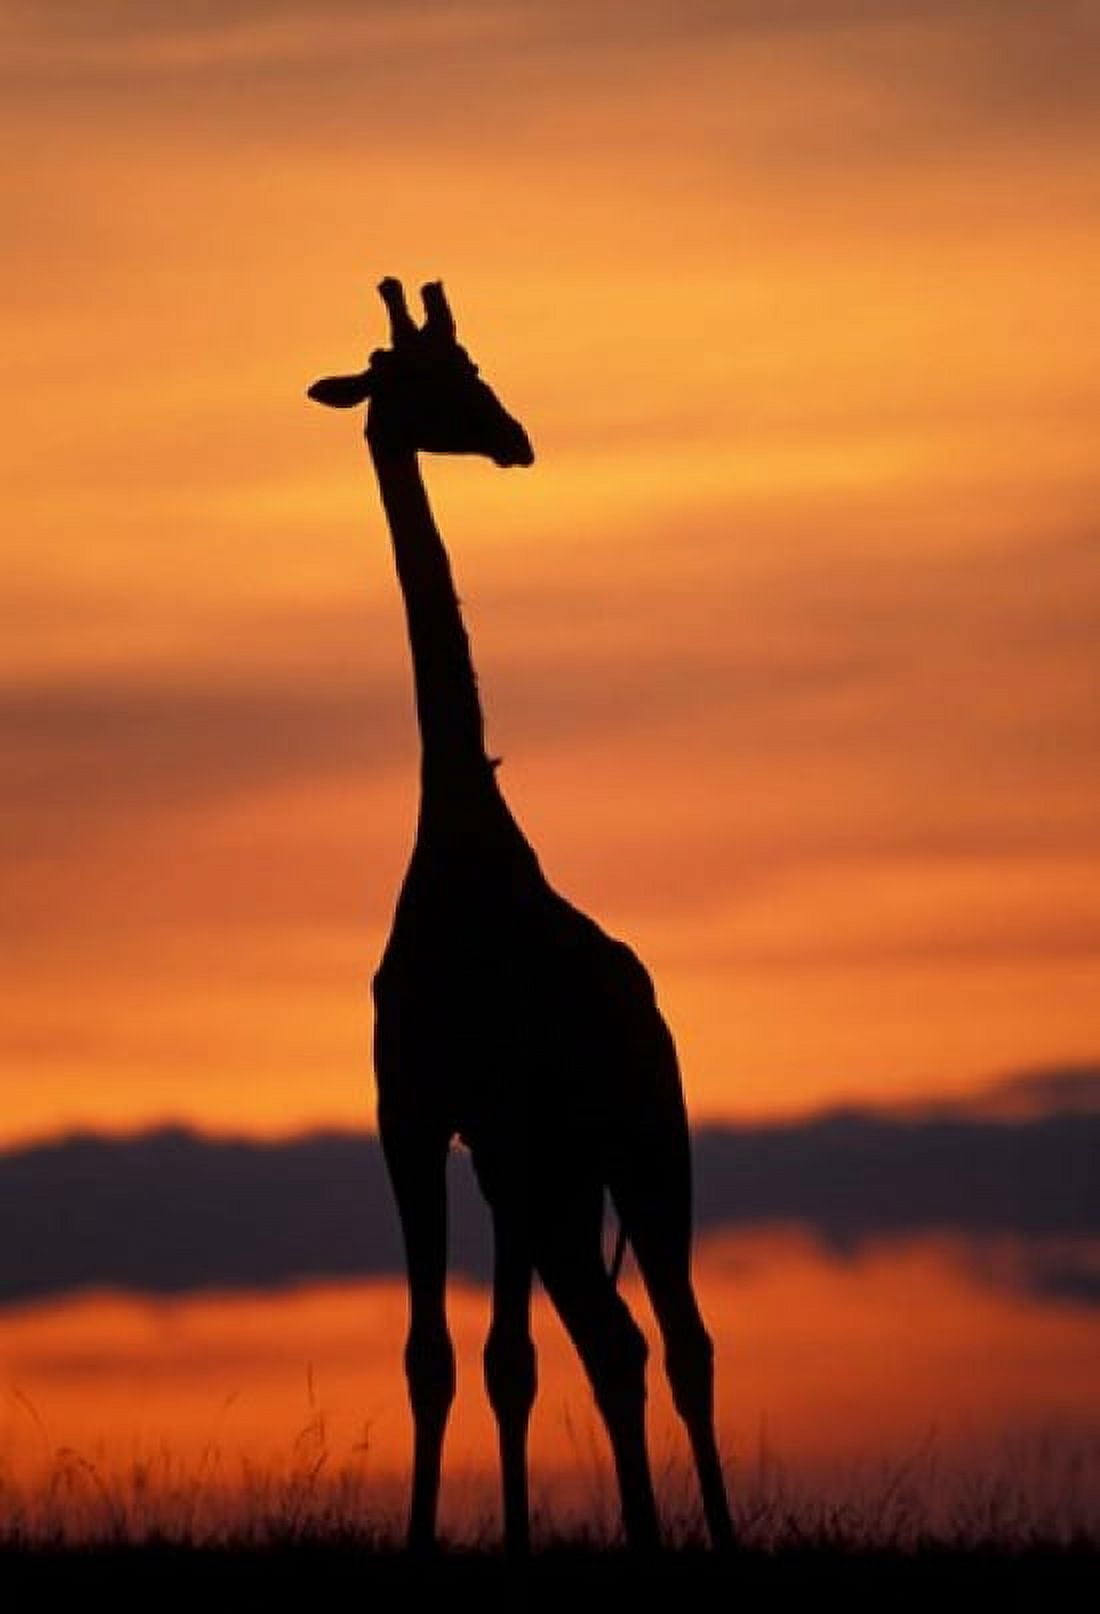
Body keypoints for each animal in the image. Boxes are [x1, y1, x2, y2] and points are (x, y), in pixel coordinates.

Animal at [309, 279, 733, 1554]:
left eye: (474, 366)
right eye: (428, 377)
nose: (514, 437)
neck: (459, 834)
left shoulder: (459, 1117)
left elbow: (470, 1360)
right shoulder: (447, 1129)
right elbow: (467, 1359)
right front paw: (468, 1538)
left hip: (625, 1142)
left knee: (662, 1339)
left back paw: (691, 1535)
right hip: (588, 1163)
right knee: (637, 1340)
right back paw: (669, 1534)